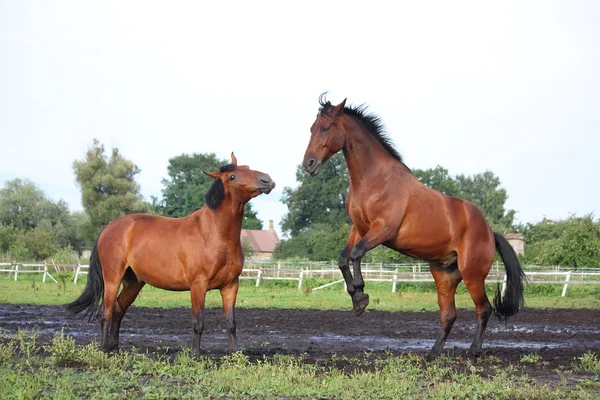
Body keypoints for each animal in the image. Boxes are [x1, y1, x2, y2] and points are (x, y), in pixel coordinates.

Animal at [69, 153, 276, 354]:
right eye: (232, 176)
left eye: (247, 167)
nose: (267, 180)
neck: (215, 234)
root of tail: (109, 228)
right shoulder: (198, 285)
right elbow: (198, 323)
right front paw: (195, 355)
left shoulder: (231, 286)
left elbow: (231, 323)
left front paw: (234, 355)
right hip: (112, 278)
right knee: (107, 312)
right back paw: (104, 350)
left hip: (134, 282)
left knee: (119, 310)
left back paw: (115, 349)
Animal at [302, 94, 524, 360]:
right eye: (311, 128)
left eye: (326, 128)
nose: (308, 164)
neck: (373, 179)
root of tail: (490, 231)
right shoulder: (360, 228)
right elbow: (343, 258)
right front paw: (356, 299)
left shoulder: (383, 230)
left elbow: (356, 254)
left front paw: (361, 295)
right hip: (444, 275)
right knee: (449, 315)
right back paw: (432, 353)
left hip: (473, 275)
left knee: (484, 309)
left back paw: (473, 351)